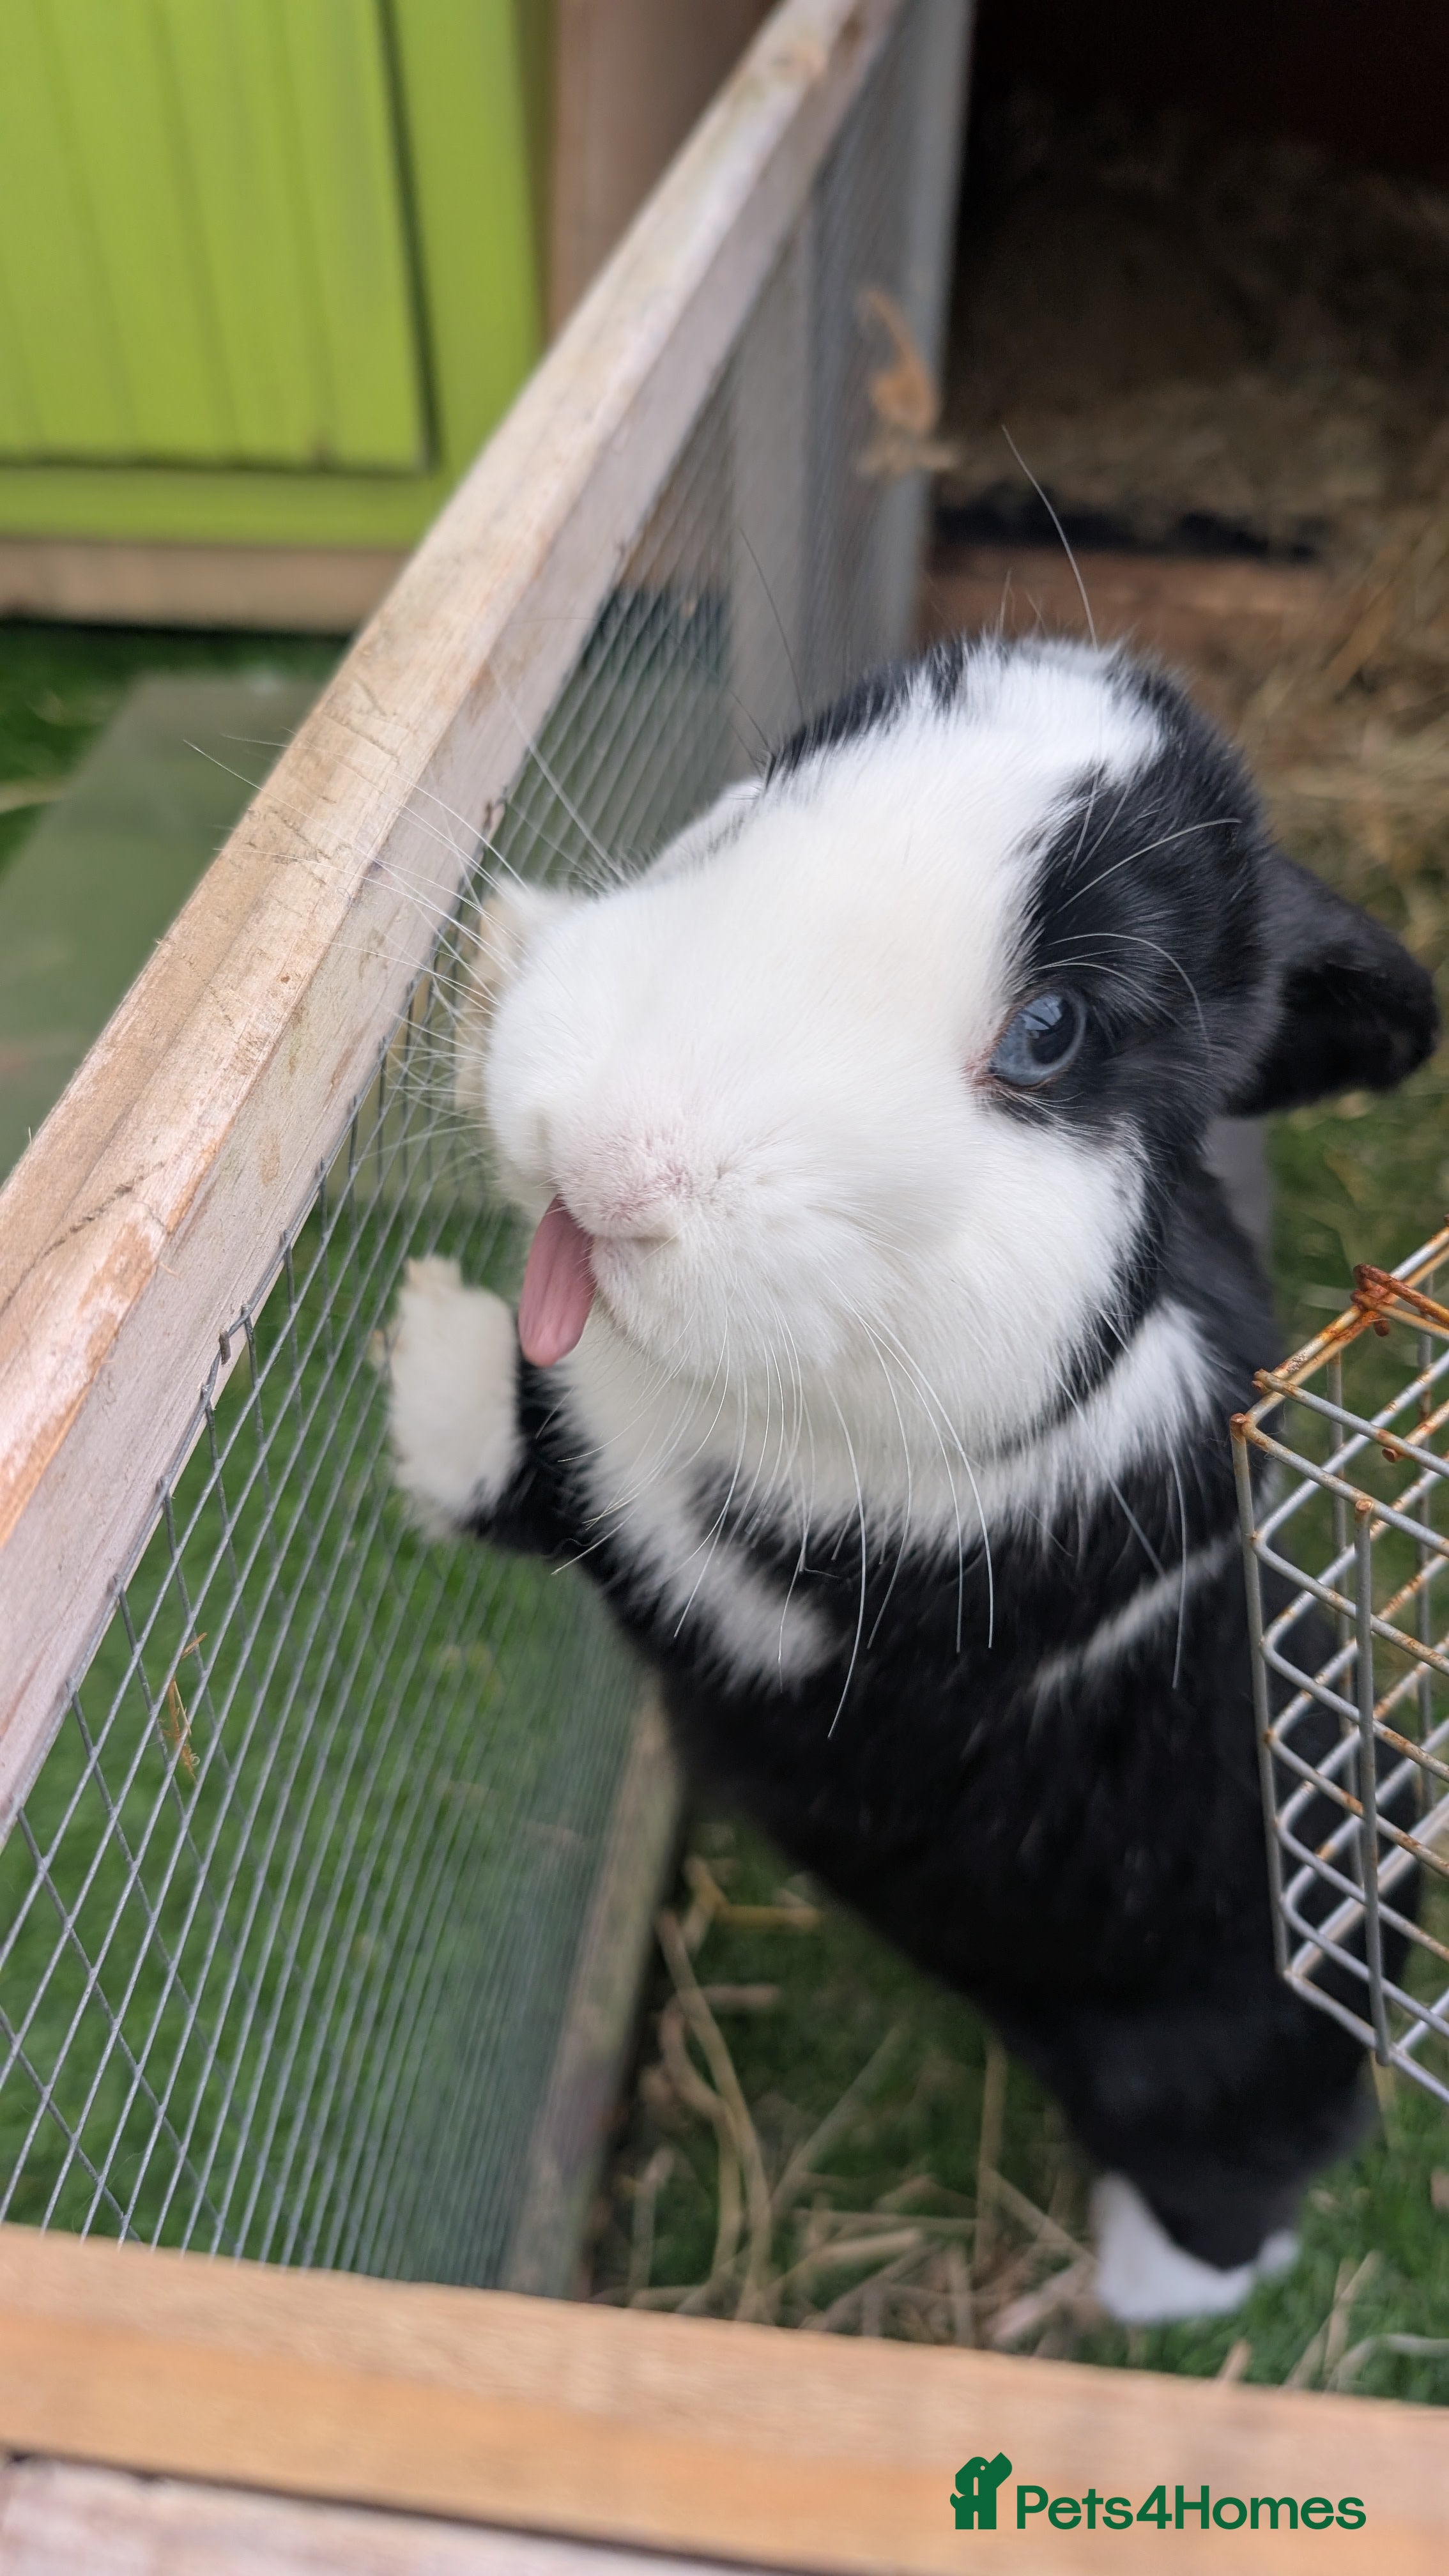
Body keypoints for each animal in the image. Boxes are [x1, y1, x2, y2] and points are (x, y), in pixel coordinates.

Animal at [388, 634, 1437, 2323]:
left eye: (1050, 1032)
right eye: (753, 805)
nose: (610, 1160)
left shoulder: (729, 1574)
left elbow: (559, 1479)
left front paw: (425, 1342)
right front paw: (505, 942)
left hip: (1201, 2098)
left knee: (1255, 2195)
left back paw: (1123, 2299)